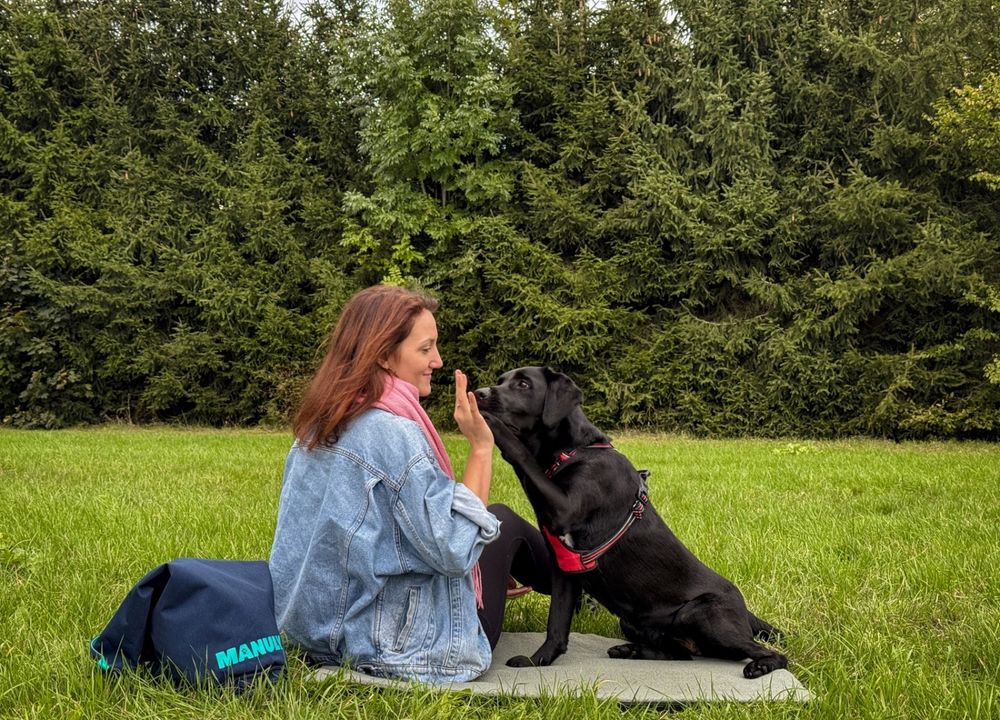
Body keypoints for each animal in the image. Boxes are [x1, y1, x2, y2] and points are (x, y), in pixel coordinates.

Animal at [476, 368, 788, 676]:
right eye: (502, 381)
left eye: (524, 384)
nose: (479, 393)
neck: (575, 451)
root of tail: (745, 610)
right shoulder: (565, 570)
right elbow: (557, 626)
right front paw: (537, 661)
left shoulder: (565, 509)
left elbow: (522, 455)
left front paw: (492, 426)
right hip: (633, 621)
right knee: (682, 655)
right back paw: (631, 650)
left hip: (701, 614)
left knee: (774, 654)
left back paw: (761, 666)